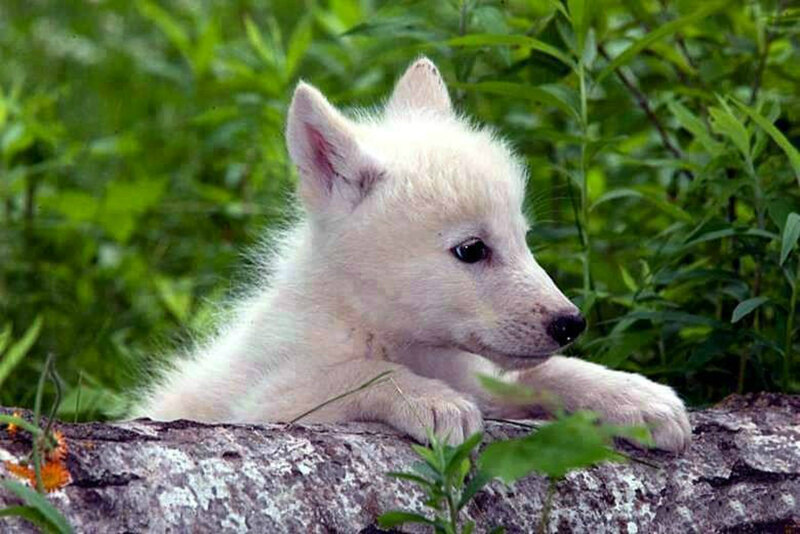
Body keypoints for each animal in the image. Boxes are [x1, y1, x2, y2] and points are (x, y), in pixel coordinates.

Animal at [137, 57, 691, 452]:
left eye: (524, 238)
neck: (373, 324)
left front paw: (635, 397)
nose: (571, 323)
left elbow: (541, 373)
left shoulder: (482, 374)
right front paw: (434, 402)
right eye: (472, 249)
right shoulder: (264, 402)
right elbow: (356, 374)